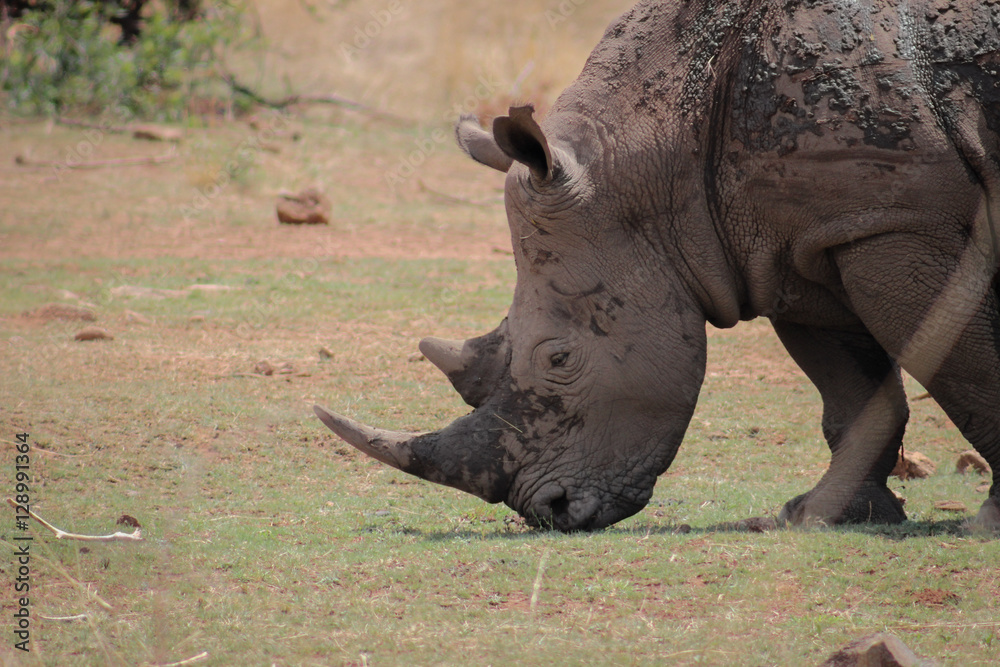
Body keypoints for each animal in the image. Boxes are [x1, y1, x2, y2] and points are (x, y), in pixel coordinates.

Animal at [315, 0, 1000, 531]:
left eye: (558, 358)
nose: (550, 511)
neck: (659, 144)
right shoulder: (805, 240)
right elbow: (853, 395)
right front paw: (817, 517)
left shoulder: (895, 223)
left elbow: (966, 373)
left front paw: (988, 526)